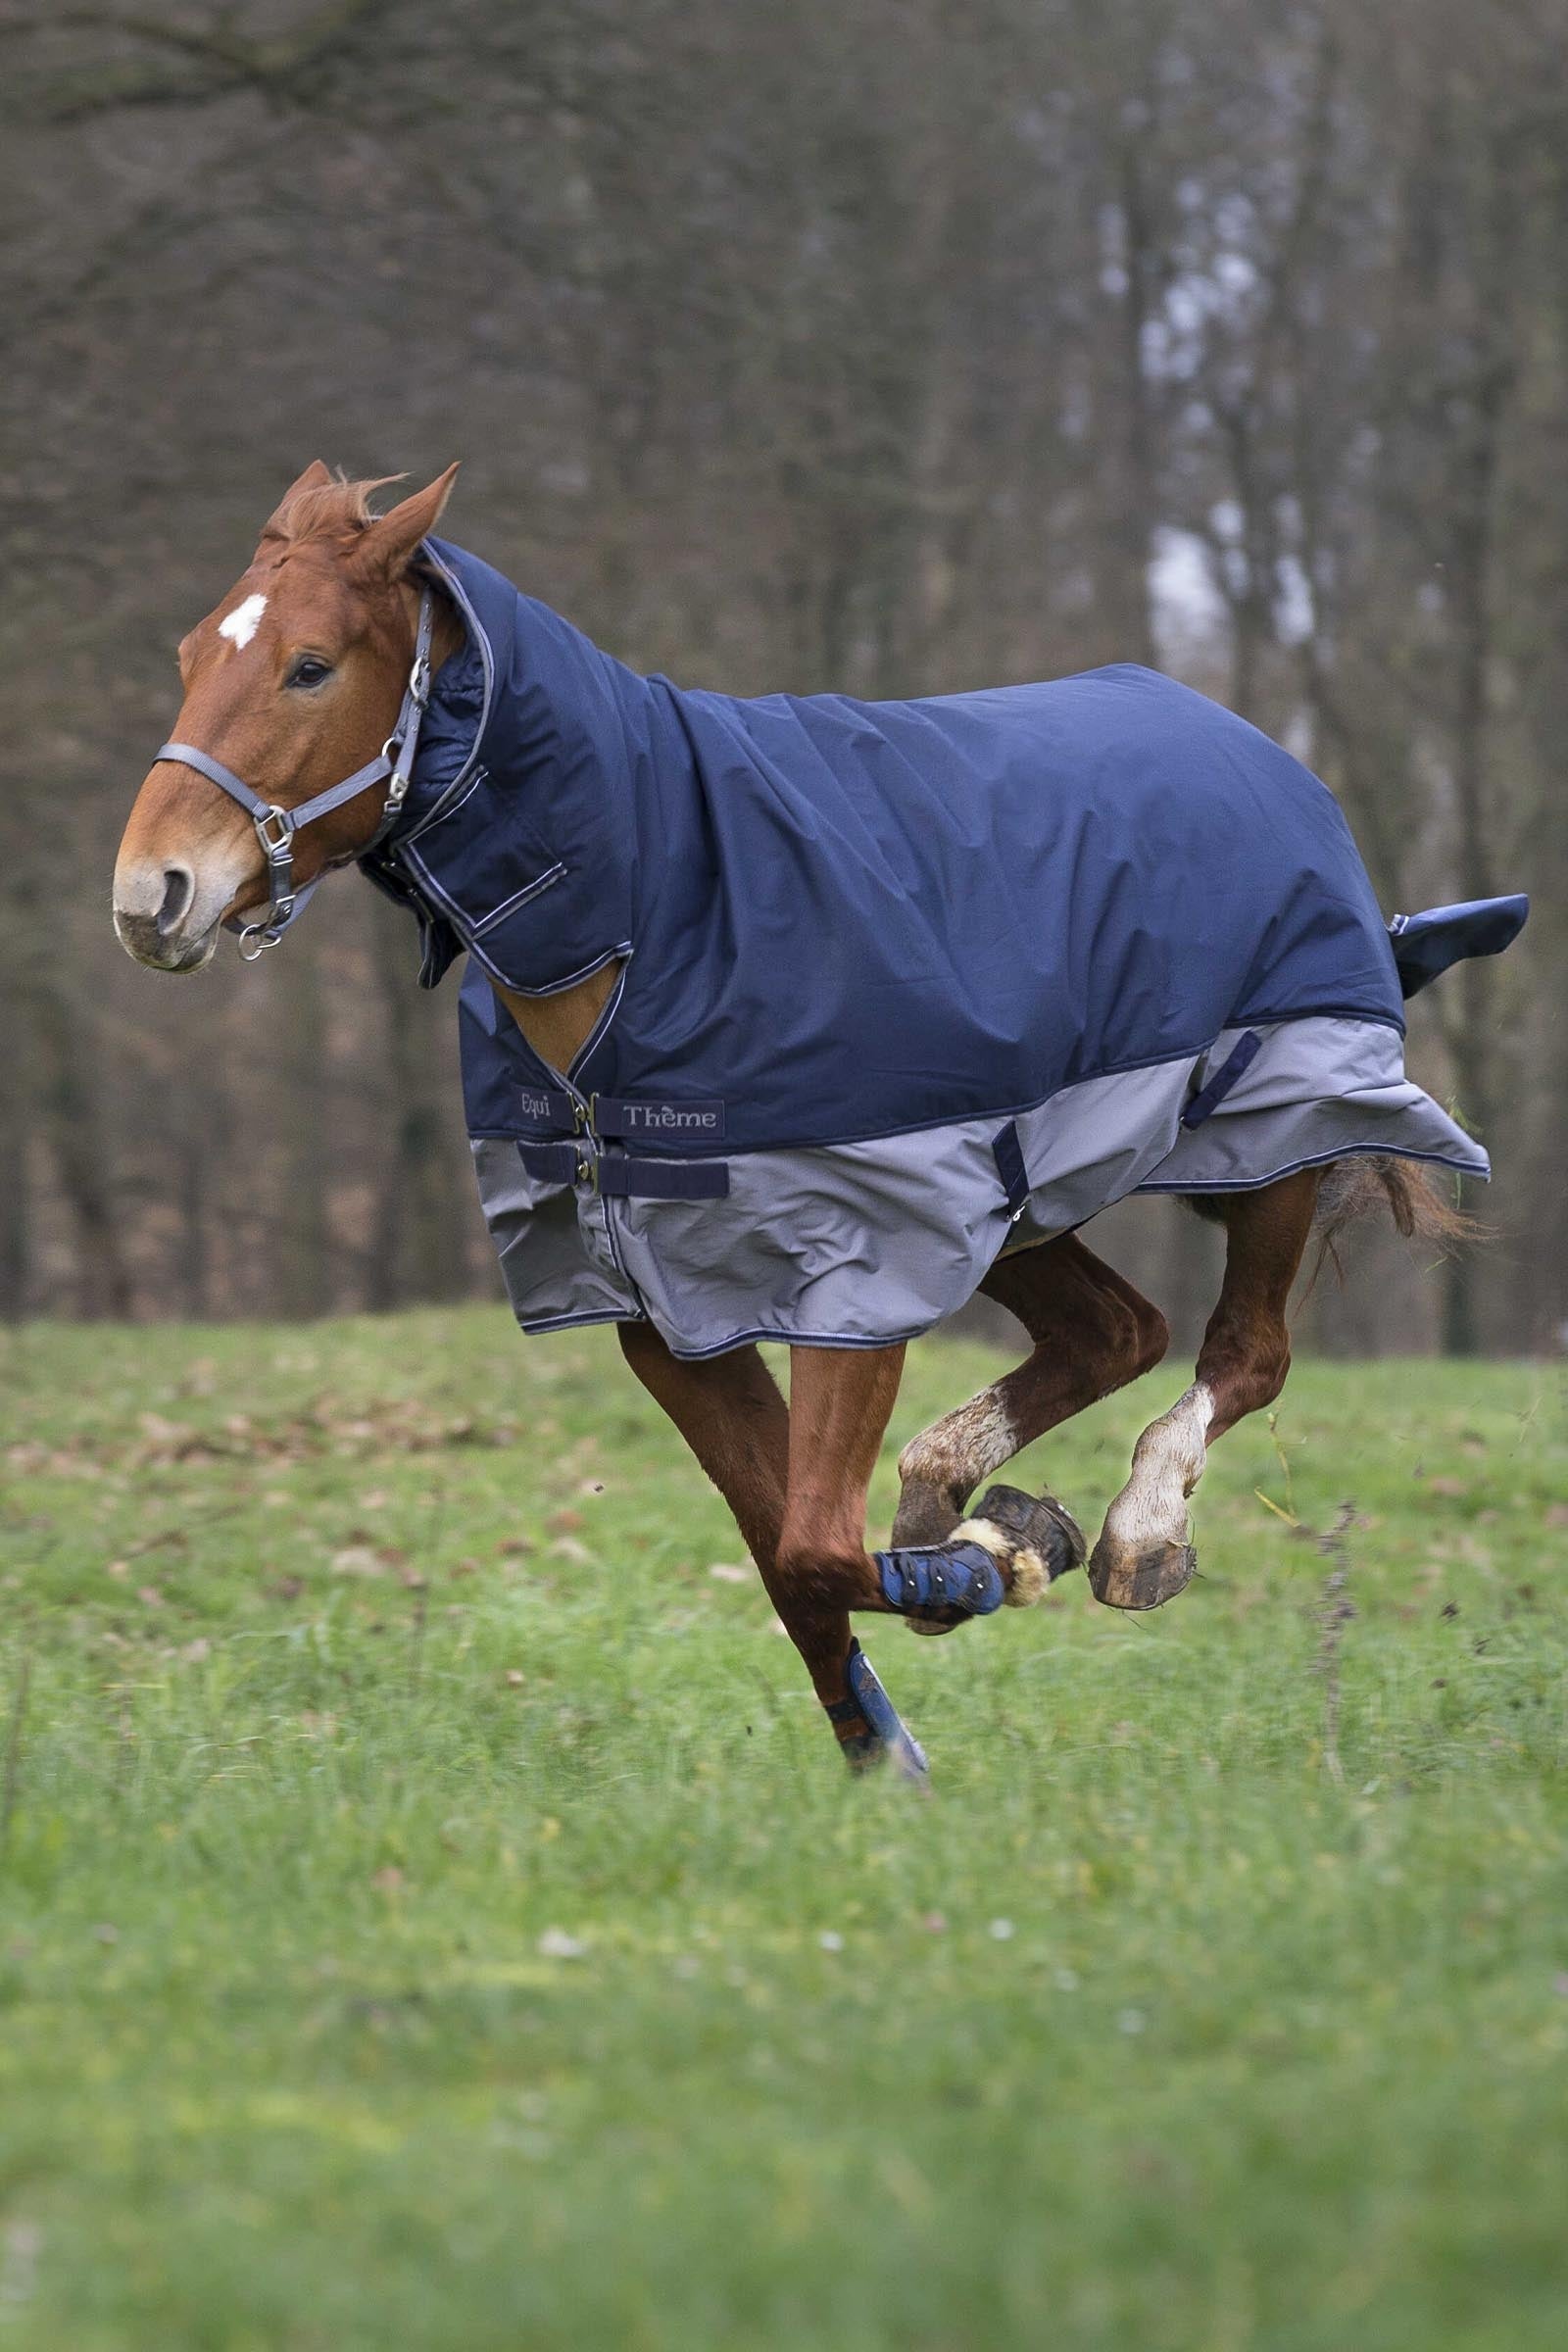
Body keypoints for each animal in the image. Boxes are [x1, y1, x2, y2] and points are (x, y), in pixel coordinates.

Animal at [113, 464, 1523, 1778]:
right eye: (187, 655)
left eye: (308, 666)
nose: (151, 896)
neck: (657, 923)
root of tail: (1256, 745)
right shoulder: (668, 1312)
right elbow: (788, 1551)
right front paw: (902, 1730)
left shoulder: (857, 1271)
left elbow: (808, 1541)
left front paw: (1005, 1560)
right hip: (1009, 1194)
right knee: (1118, 1330)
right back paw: (949, 1489)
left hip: (1273, 1123)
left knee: (1246, 1353)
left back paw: (1134, 1535)